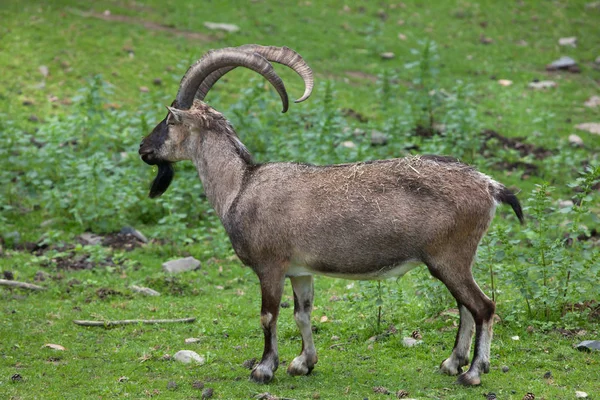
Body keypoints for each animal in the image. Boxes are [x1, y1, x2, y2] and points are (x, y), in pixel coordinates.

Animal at [138, 45, 524, 386]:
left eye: (169, 119)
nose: (143, 148)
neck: (241, 185)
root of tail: (490, 186)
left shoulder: (270, 266)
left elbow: (268, 315)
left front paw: (264, 369)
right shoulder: (300, 271)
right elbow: (302, 314)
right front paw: (302, 364)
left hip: (448, 258)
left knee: (483, 306)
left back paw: (472, 373)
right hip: (454, 261)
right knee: (465, 308)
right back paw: (451, 363)